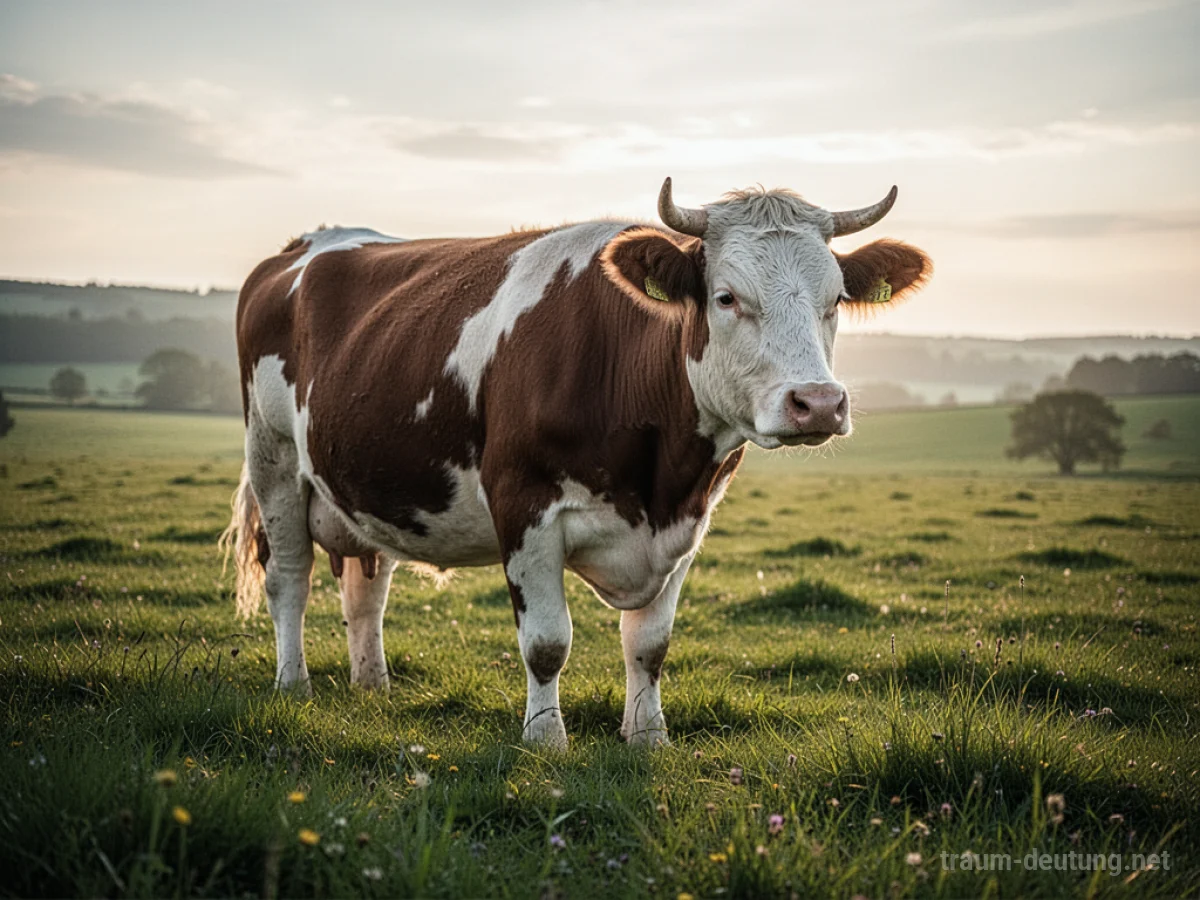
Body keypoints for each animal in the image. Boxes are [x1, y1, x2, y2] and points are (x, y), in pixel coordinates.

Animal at [222, 178, 930, 749]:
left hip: (367, 485)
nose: (818, 403)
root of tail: (307, 244)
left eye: (835, 299)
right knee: (290, 578)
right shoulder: (523, 504)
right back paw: (294, 685)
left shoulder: (688, 520)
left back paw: (373, 686)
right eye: (727, 297)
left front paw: (648, 737)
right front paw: (545, 740)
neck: (657, 476)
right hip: (274, 460)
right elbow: (546, 643)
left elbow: (649, 645)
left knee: (365, 590)